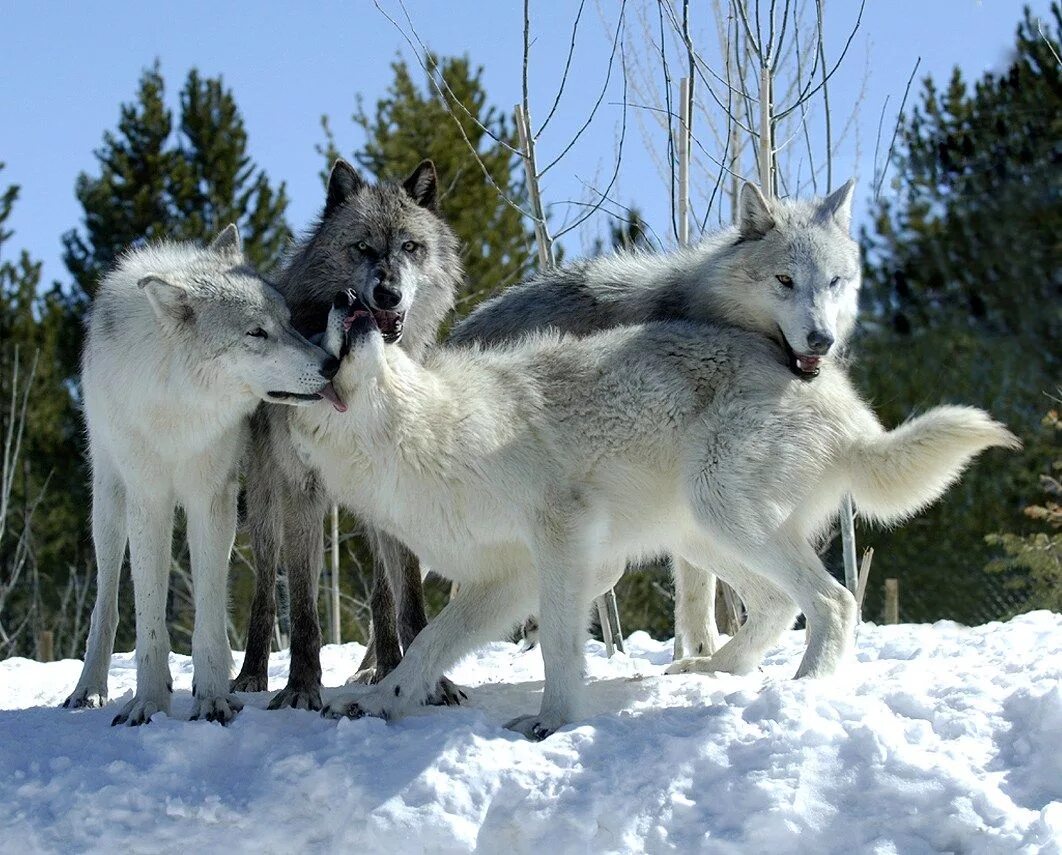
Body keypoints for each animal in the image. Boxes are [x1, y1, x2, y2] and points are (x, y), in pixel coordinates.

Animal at [62, 225, 335, 722]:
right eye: (256, 332)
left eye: (288, 321)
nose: (331, 364)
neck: (180, 407)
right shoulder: (148, 499)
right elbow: (149, 617)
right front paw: (148, 703)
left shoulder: (212, 497)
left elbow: (209, 612)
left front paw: (212, 697)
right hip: (108, 506)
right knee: (105, 603)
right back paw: (88, 688)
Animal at [234, 158, 467, 705]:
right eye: (362, 247)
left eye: (410, 247)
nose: (387, 292)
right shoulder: (300, 489)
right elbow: (302, 605)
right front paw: (301, 688)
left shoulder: (396, 489)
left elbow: (404, 594)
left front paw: (422, 677)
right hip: (265, 505)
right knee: (265, 591)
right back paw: (252, 675)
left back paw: (383, 667)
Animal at [286, 291, 1015, 739]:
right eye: (318, 341)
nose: (348, 299)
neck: (418, 439)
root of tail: (853, 412)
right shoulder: (506, 579)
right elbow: (429, 644)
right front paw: (379, 702)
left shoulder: (564, 542)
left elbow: (558, 644)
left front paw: (552, 721)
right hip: (702, 532)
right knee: (780, 604)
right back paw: (713, 672)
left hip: (721, 512)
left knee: (834, 600)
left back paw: (800, 691)